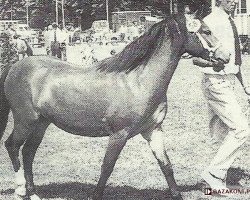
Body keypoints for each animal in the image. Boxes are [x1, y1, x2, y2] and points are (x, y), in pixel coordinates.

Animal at [0, 14, 229, 200]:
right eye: (207, 31)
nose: (225, 57)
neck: (138, 81)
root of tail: (16, 65)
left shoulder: (153, 130)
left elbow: (166, 165)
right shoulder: (119, 134)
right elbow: (107, 167)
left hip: (41, 123)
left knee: (28, 152)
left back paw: (33, 193)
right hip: (25, 121)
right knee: (12, 146)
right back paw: (20, 190)